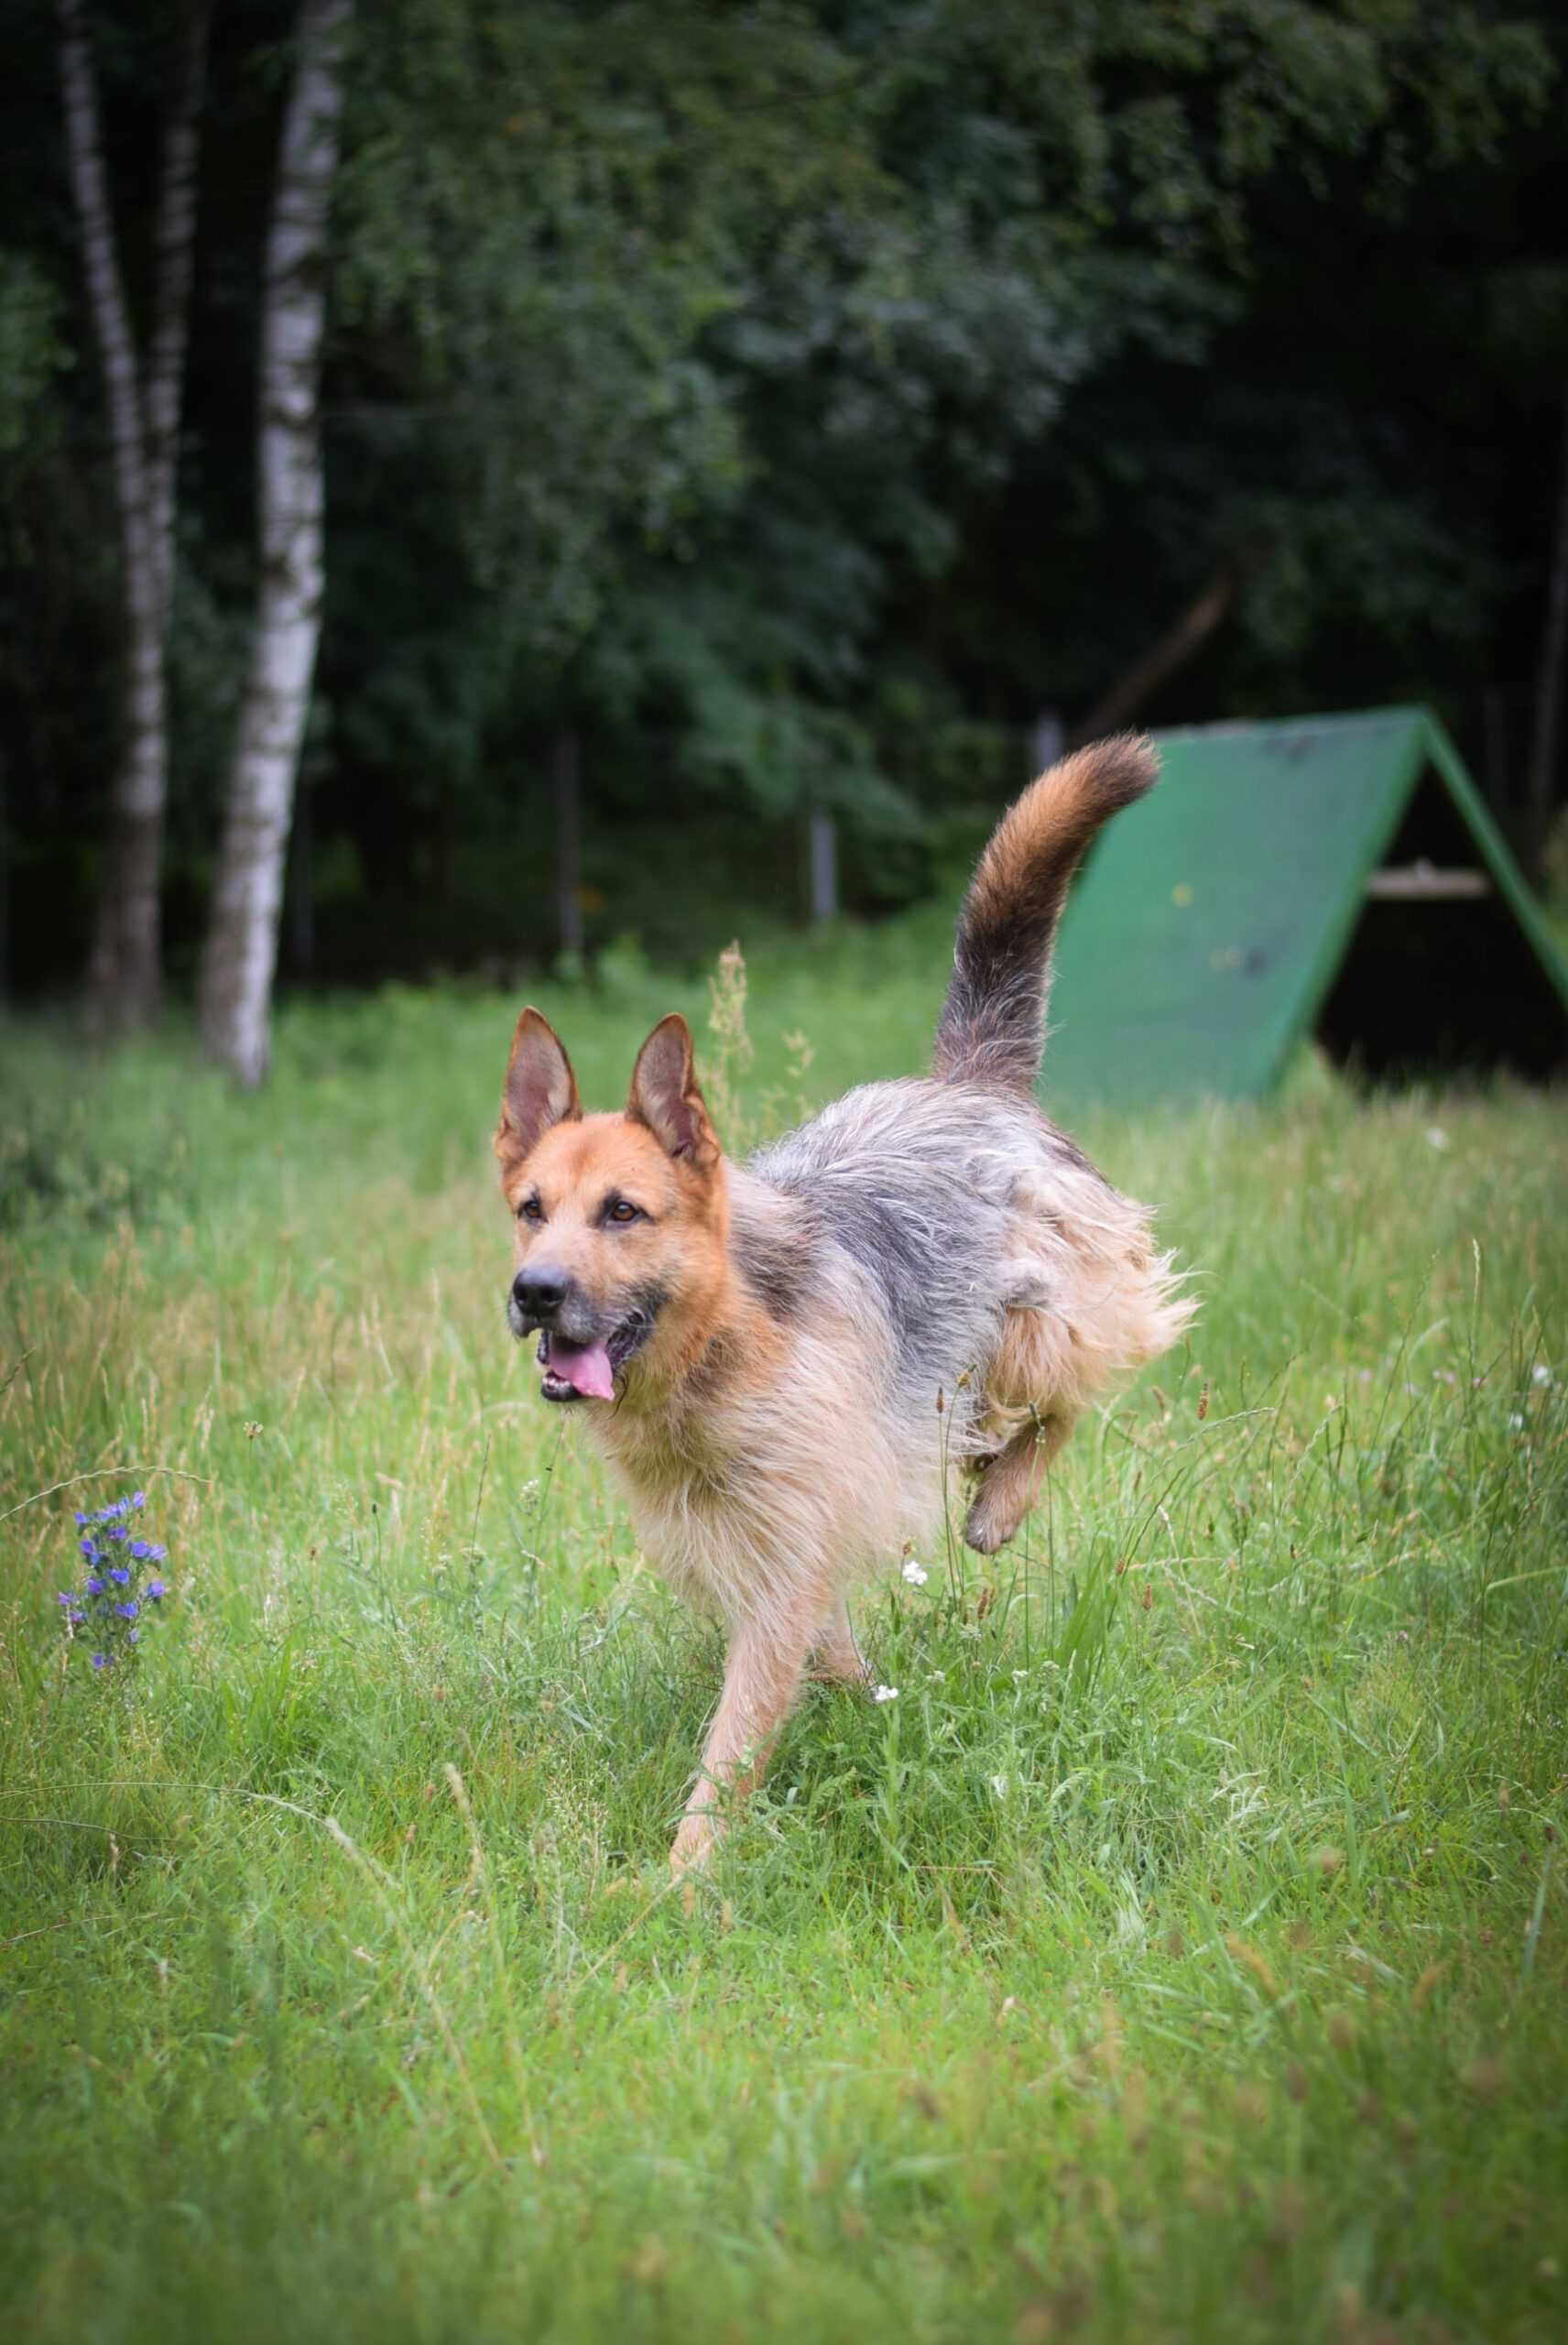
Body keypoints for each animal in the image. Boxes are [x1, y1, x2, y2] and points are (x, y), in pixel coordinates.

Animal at [494, 731, 1190, 1866]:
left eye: (621, 1212)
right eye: (530, 1208)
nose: (534, 1292)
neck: (721, 1346)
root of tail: (969, 1082)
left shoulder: (782, 1560)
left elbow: (731, 1745)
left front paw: (677, 1883)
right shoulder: (766, 1552)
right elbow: (828, 1659)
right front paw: (874, 1711)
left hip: (1041, 1318)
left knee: (1066, 1395)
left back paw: (1002, 1500)